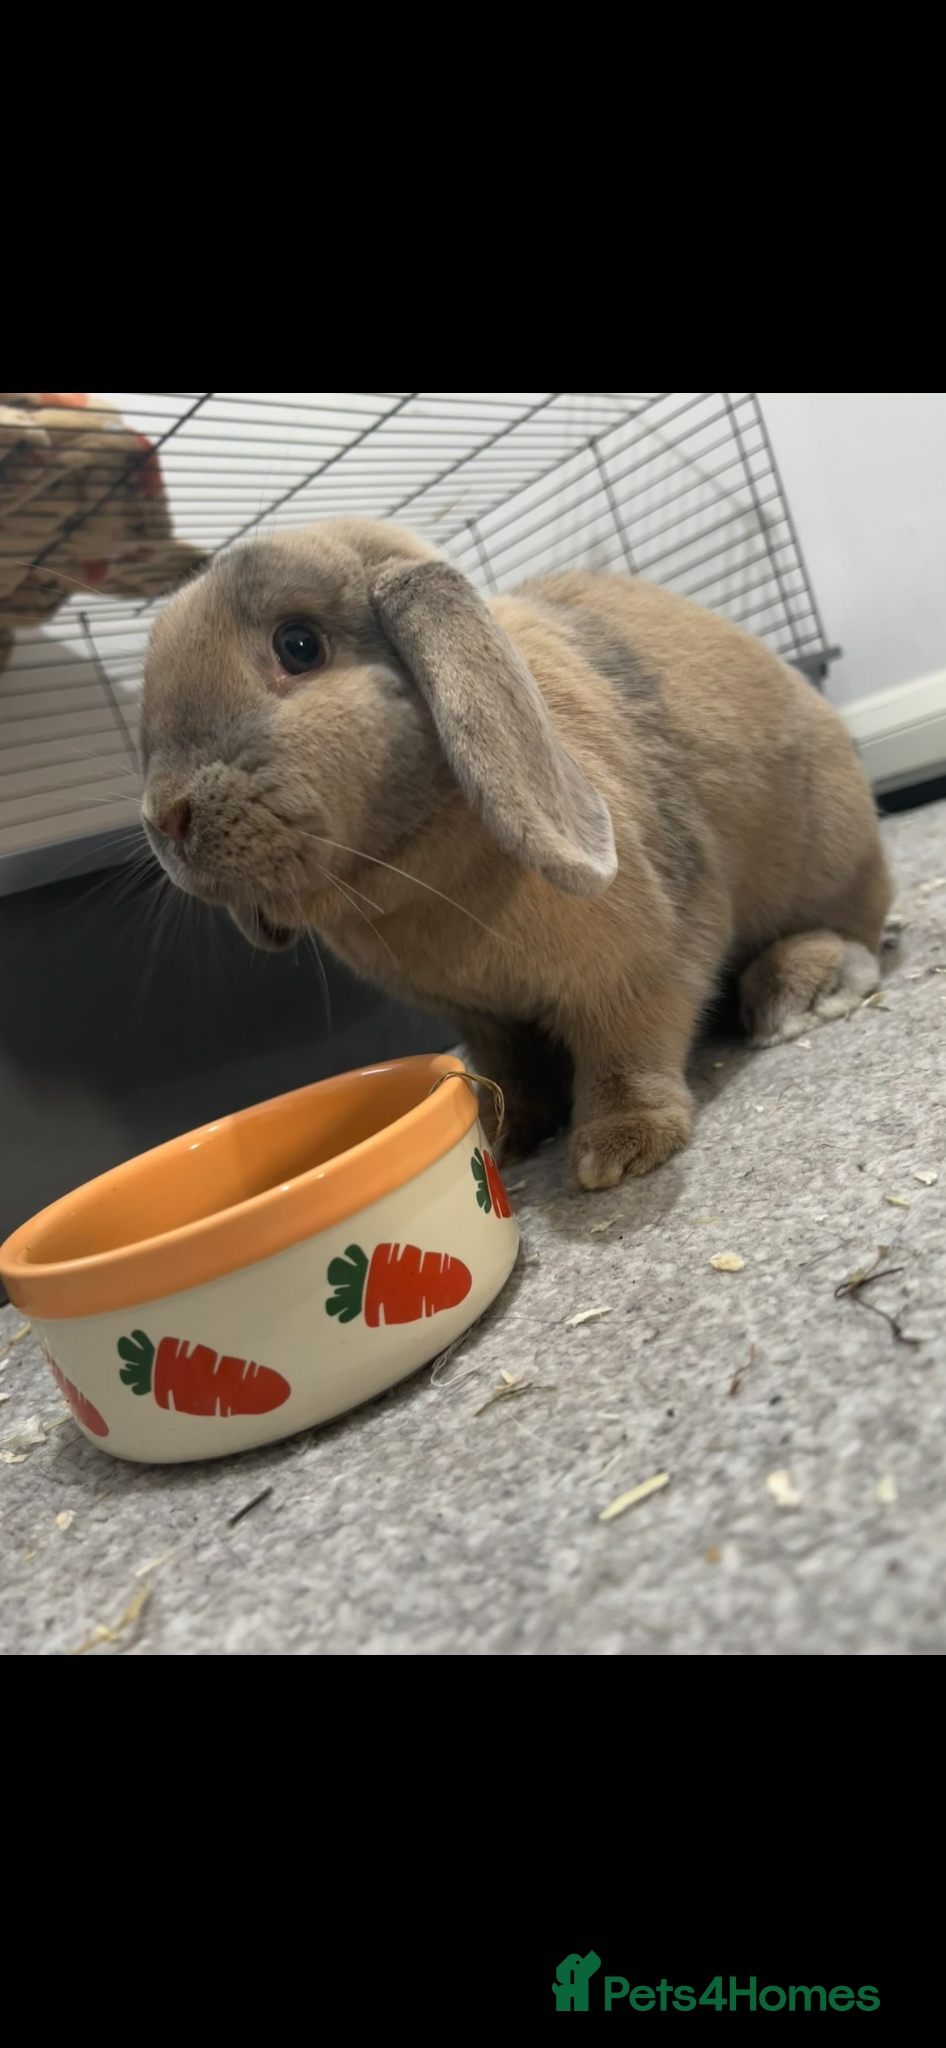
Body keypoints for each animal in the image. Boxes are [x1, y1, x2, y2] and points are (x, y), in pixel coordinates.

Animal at [139, 517, 892, 1190]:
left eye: (298, 645)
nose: (163, 818)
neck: (414, 872)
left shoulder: (642, 968)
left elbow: (630, 1048)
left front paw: (615, 1151)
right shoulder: (480, 1018)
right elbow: (509, 1071)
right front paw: (503, 1136)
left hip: (832, 855)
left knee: (854, 931)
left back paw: (800, 991)